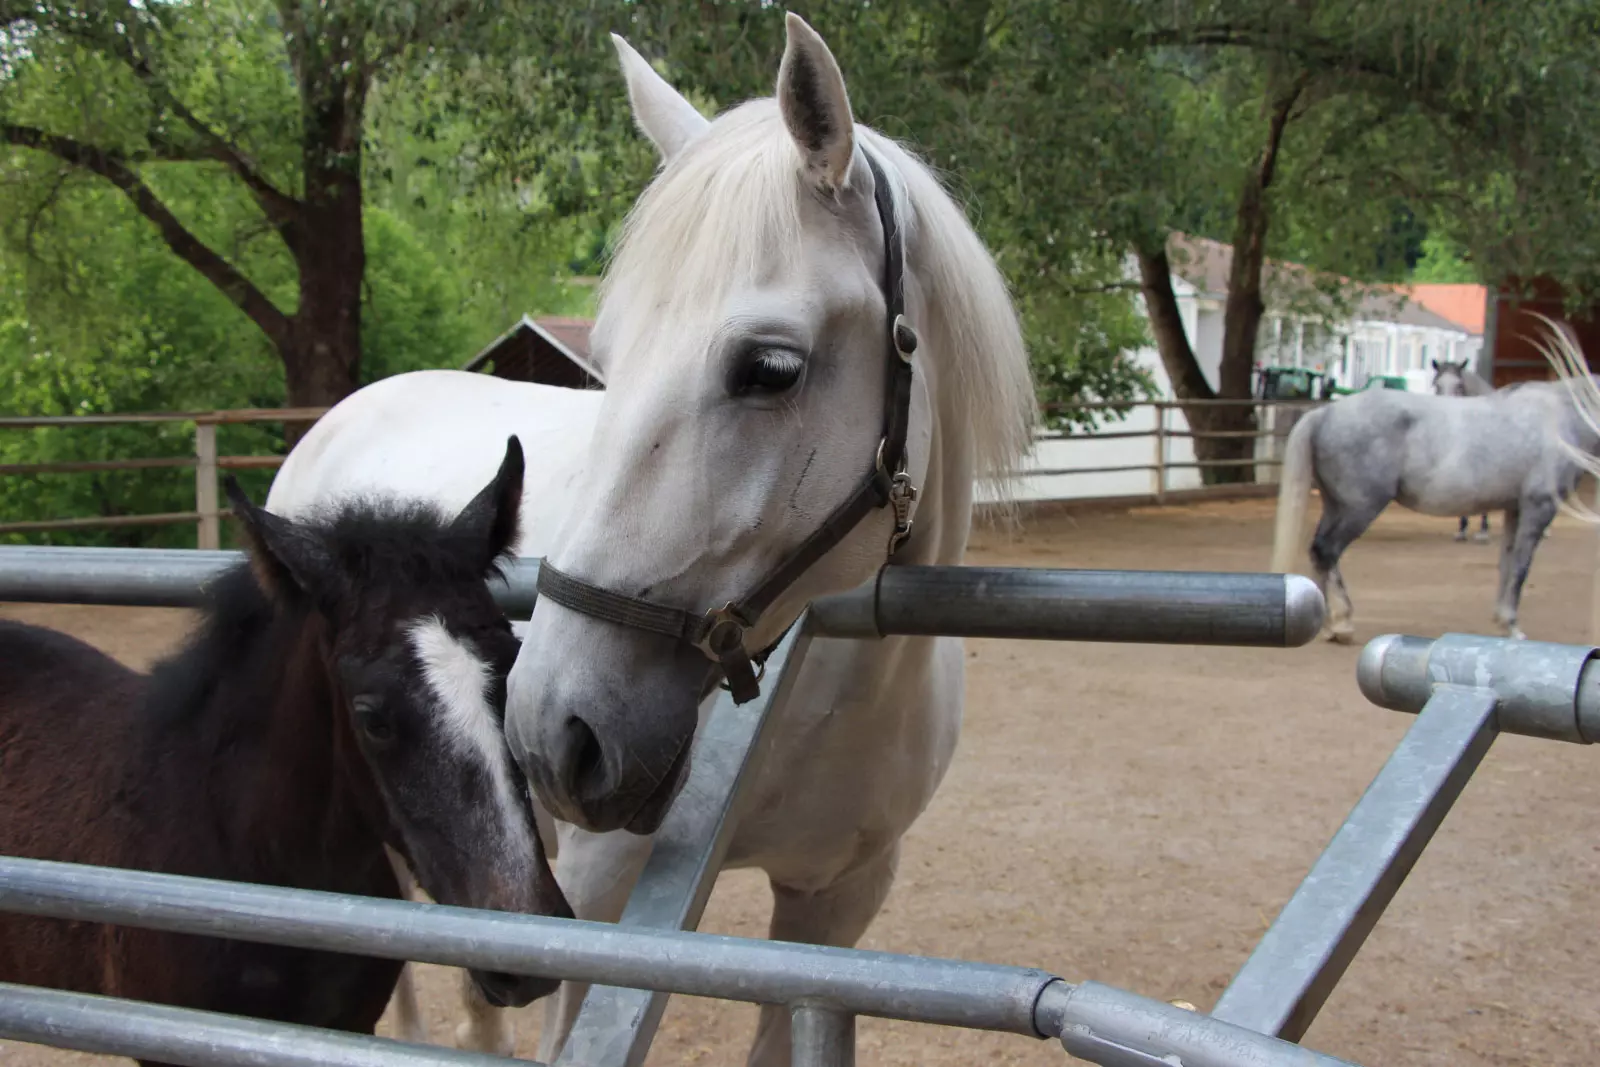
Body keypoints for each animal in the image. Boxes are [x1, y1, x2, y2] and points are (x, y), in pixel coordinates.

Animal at [265, 10, 1036, 1067]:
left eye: (770, 367)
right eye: (608, 356)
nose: (551, 733)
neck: (819, 695)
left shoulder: (830, 911)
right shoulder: (596, 909)